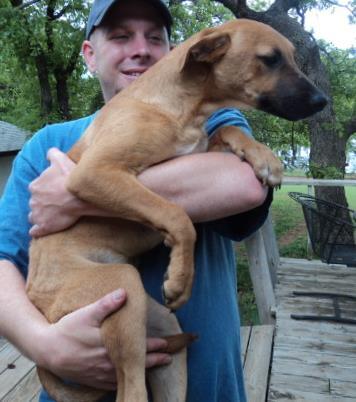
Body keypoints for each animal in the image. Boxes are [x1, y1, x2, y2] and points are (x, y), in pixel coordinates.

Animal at [26, 18, 326, 402]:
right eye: (270, 59)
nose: (323, 101)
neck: (181, 107)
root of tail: (40, 305)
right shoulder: (94, 173)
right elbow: (177, 216)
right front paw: (181, 277)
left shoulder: (199, 151)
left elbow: (229, 129)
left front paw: (263, 156)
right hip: (121, 286)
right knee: (131, 390)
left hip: (158, 324)